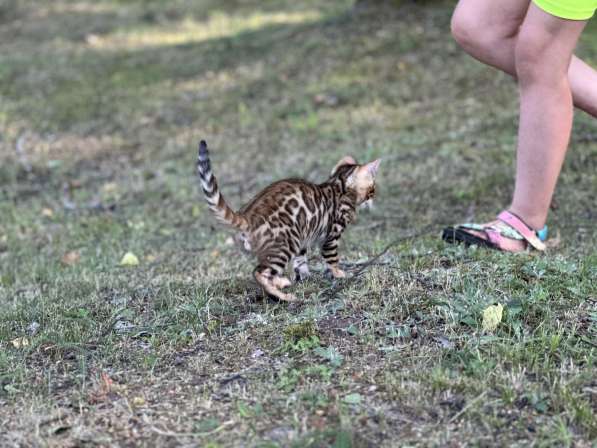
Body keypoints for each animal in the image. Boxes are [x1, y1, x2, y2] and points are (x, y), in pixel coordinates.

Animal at [198, 140, 380, 300]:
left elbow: (300, 262)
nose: (373, 198)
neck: (338, 186)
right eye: (372, 189)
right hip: (285, 245)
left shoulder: (303, 238)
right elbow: (332, 259)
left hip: (288, 241)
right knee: (259, 272)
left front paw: (305, 277)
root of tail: (247, 216)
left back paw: (281, 282)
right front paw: (340, 274)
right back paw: (283, 295)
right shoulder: (331, 236)